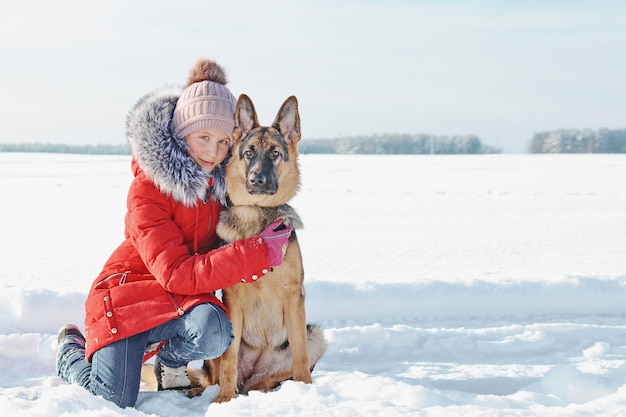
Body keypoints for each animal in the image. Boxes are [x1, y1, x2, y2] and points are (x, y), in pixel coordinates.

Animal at [188, 93, 324, 400]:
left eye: (274, 153)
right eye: (249, 153)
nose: (257, 180)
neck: (256, 215)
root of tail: (250, 378)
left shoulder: (294, 298)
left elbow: (300, 355)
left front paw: (305, 392)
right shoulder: (232, 301)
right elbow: (228, 360)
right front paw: (224, 401)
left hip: (315, 335)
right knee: (215, 375)